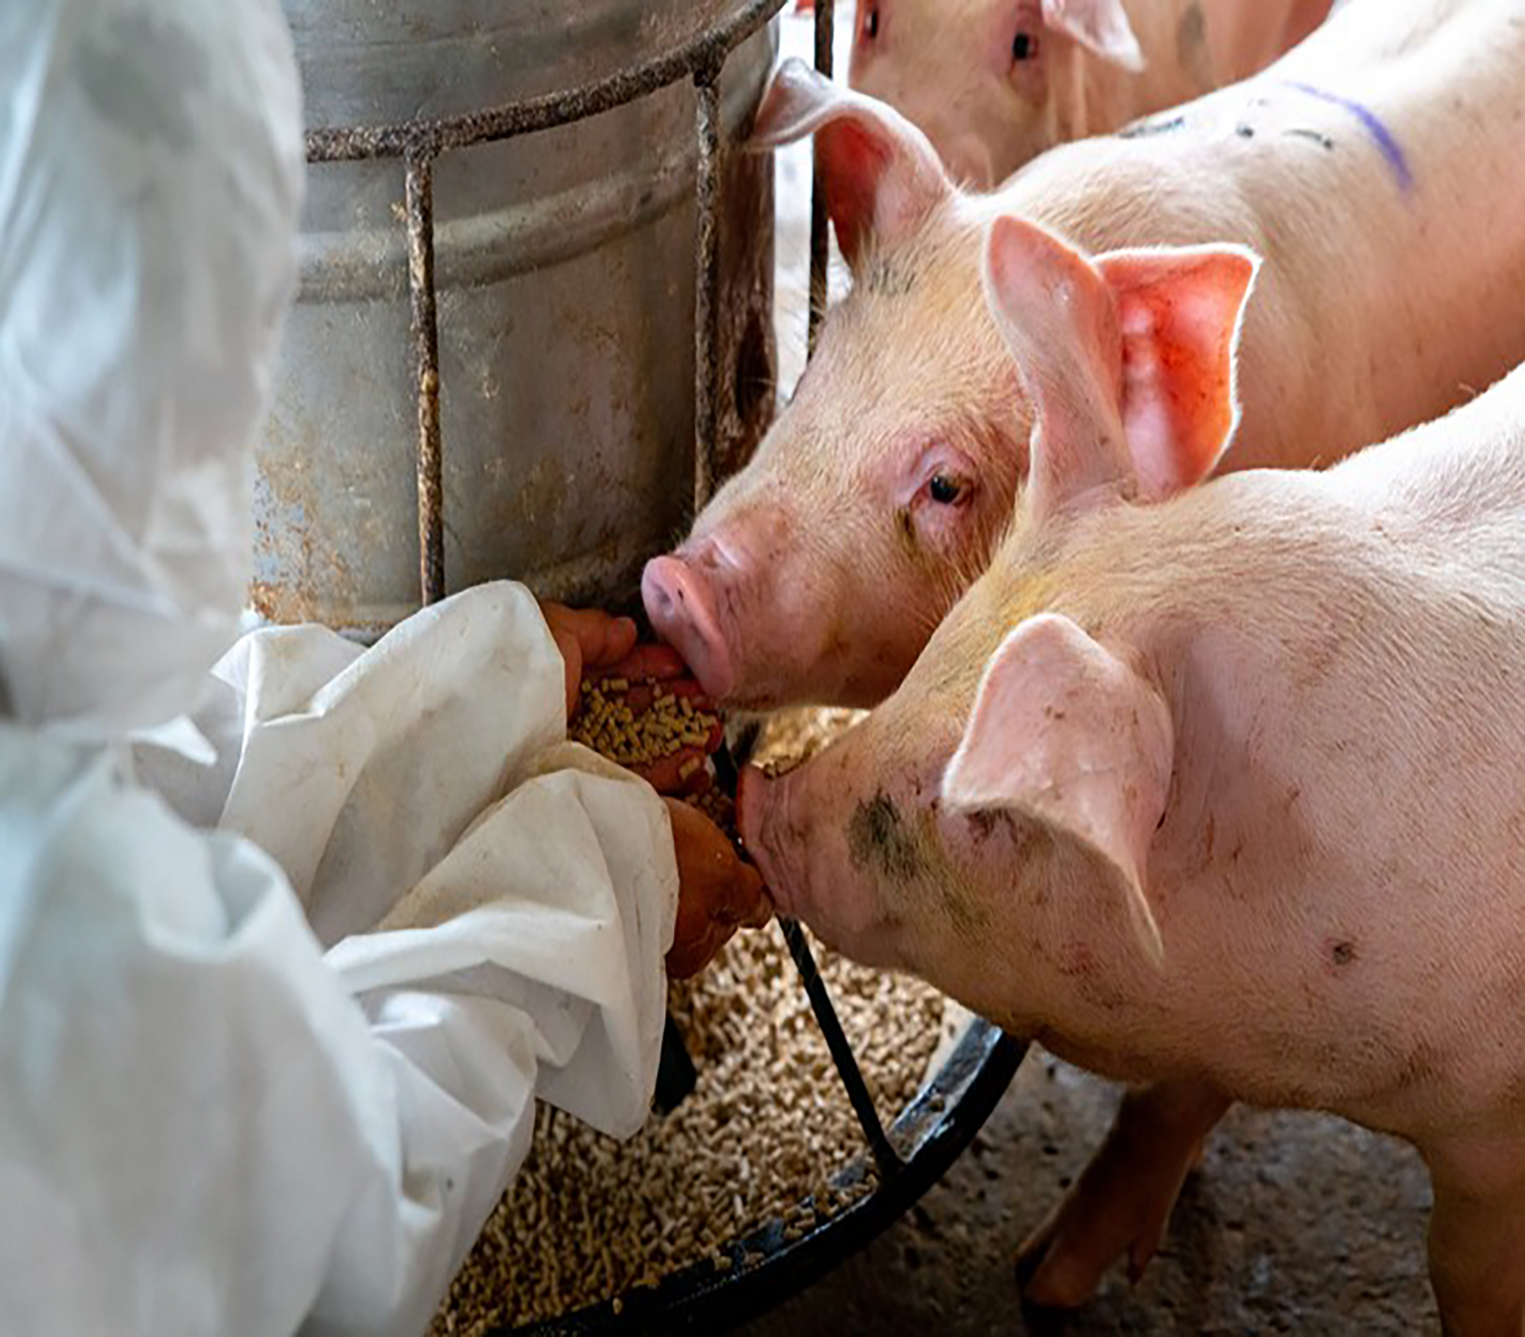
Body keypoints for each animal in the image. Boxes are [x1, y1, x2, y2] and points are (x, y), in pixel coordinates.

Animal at [738, 211, 1525, 1323]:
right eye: (935, 652)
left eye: (980, 811)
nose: (752, 797)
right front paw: (1046, 1280)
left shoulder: (1488, 1135)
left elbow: (1462, 1267)